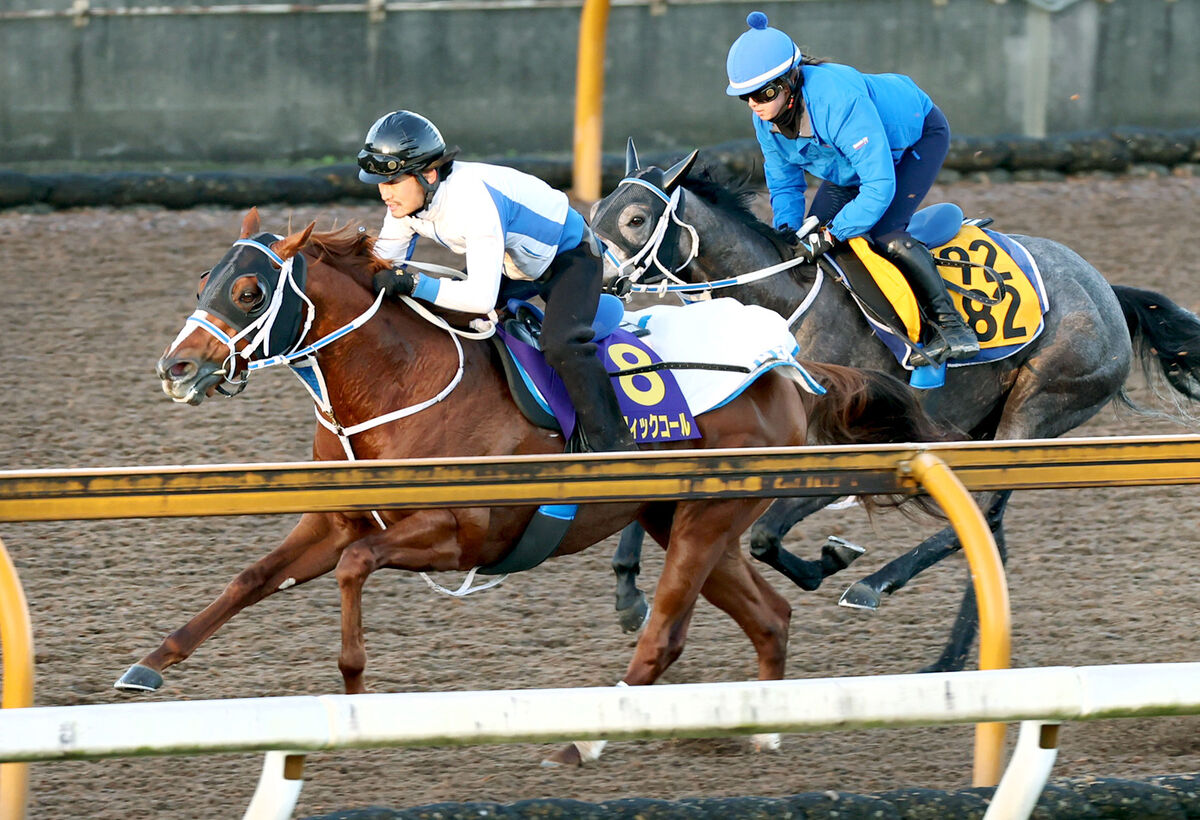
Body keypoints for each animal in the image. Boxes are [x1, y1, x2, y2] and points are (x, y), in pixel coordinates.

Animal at [124, 208, 936, 768]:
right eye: (203, 282)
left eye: (249, 290)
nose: (175, 369)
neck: (397, 384)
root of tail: (787, 365)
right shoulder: (338, 519)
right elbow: (251, 577)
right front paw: (147, 667)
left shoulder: (463, 533)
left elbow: (355, 570)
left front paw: (354, 695)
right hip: (682, 518)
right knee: (770, 618)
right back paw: (766, 730)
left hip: (706, 521)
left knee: (662, 635)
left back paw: (588, 742)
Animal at [590, 142, 1200, 672]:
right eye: (595, 212)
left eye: (637, 219)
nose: (595, 285)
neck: (780, 304)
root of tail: (1107, 291)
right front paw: (627, 593)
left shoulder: (863, 440)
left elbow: (766, 536)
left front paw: (830, 562)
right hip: (979, 428)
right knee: (987, 526)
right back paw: (951, 659)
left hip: (1041, 405)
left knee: (981, 513)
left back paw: (874, 588)